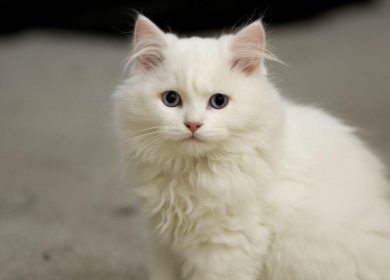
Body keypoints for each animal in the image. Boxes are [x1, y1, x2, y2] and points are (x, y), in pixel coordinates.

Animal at [112, 15, 390, 280]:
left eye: (219, 101)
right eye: (171, 99)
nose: (193, 124)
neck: (191, 175)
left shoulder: (225, 247)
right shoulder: (163, 244)